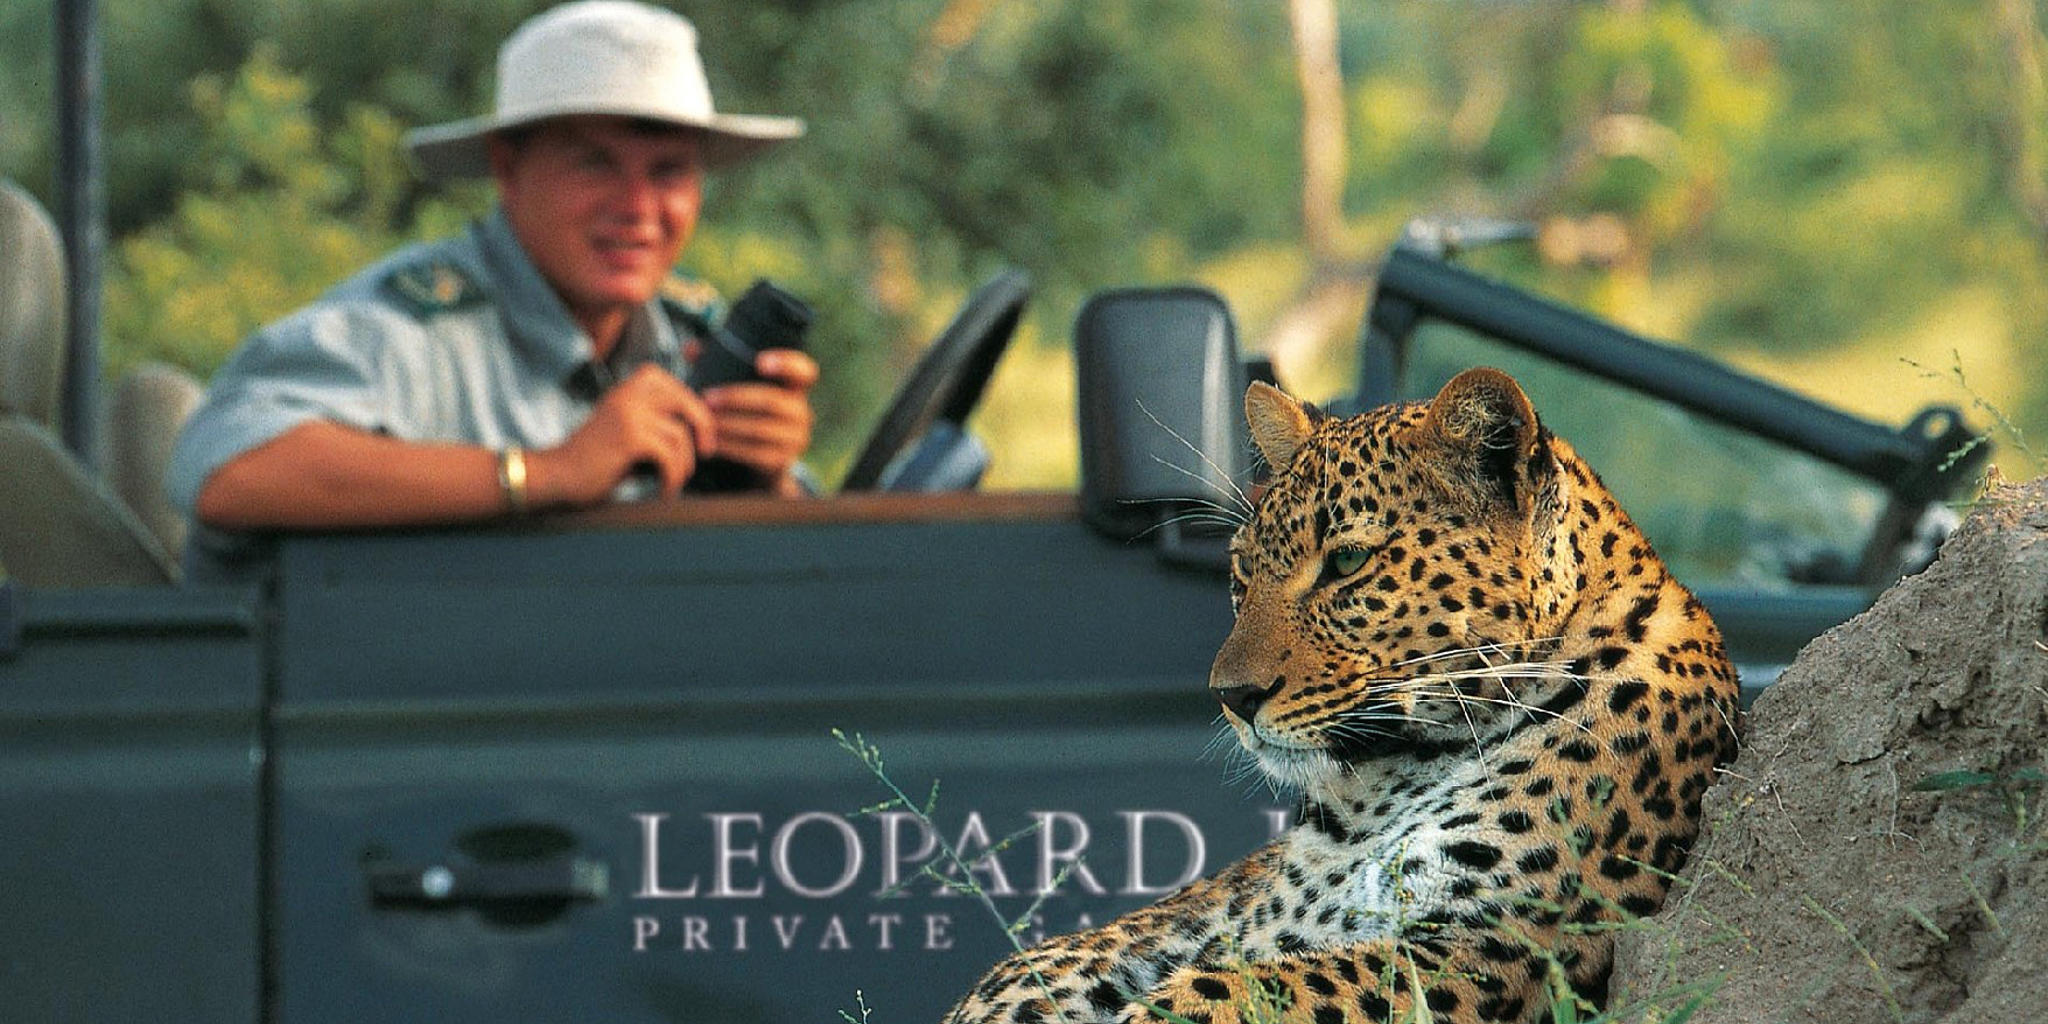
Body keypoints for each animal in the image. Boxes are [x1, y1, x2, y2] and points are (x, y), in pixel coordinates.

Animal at [945, 368, 1740, 1024]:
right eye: (1243, 570)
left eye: (1349, 562)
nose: (1233, 697)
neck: (1374, 796)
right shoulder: (1225, 921)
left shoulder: (1494, 948)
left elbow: (1238, 991)